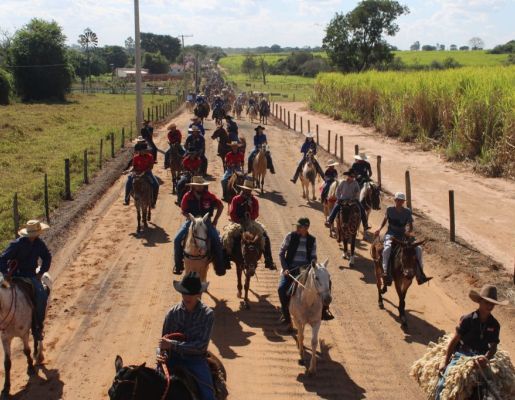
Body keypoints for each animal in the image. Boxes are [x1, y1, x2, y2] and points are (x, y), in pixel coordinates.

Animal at [0, 270, 52, 398]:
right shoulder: (5, 338)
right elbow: (7, 363)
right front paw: (6, 388)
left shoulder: (24, 333)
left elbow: (26, 351)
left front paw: (30, 367)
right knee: (35, 335)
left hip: (42, 314)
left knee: (39, 335)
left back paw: (39, 356)